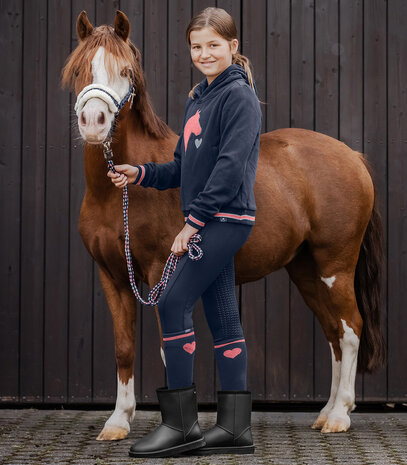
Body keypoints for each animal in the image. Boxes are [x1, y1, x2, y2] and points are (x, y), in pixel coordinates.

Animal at [61, 10, 386, 438]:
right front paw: (118, 420)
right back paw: (326, 411)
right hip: (306, 271)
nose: (94, 122)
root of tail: (353, 156)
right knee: (333, 331)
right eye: (79, 69)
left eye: (126, 70)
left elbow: (169, 345)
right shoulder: (113, 276)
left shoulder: (162, 273)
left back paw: (339, 415)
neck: (119, 196)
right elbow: (124, 347)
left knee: (349, 329)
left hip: (336, 267)